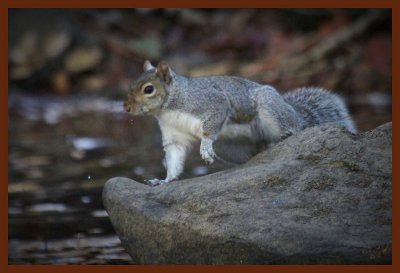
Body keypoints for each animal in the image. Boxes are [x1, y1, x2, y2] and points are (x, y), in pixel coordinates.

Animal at [124, 60, 356, 186]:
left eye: (148, 89)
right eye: (132, 84)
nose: (126, 108)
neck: (169, 108)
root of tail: (295, 114)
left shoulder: (212, 103)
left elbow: (210, 126)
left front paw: (205, 146)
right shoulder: (174, 136)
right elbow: (174, 158)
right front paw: (164, 180)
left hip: (270, 106)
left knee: (292, 128)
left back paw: (286, 135)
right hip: (228, 147)